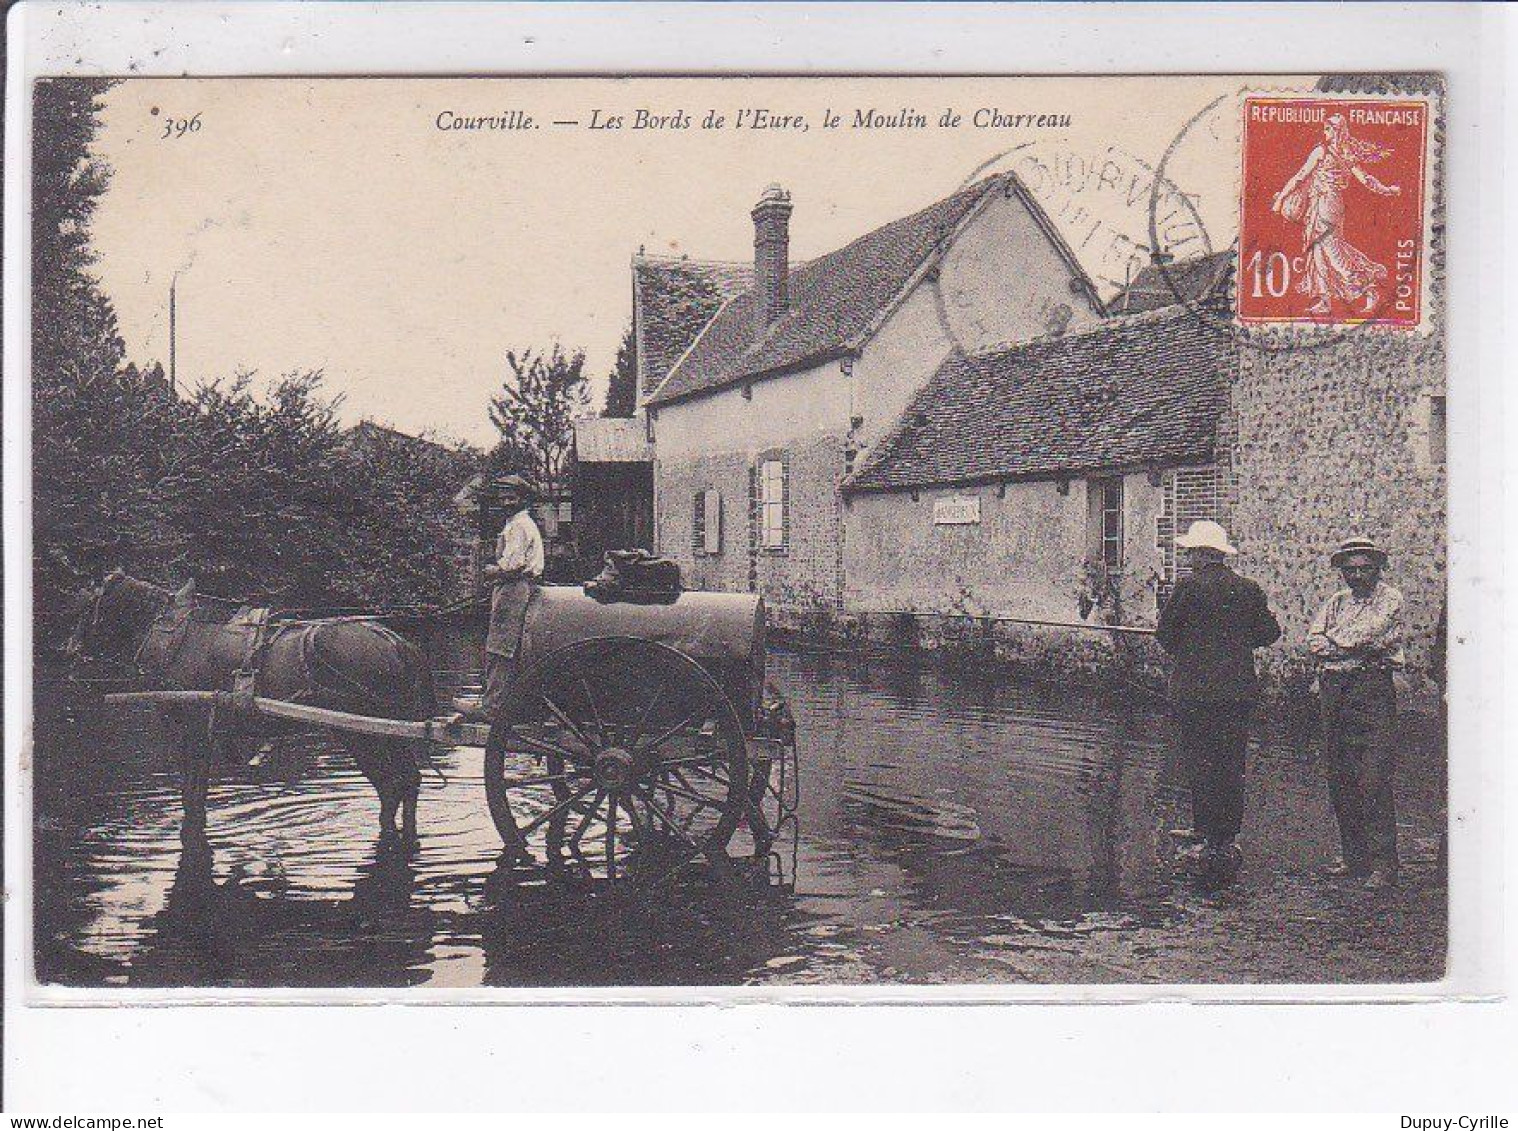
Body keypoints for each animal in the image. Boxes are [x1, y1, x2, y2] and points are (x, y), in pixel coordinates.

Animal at [69, 573, 443, 850]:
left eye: (87, 606)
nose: (69, 648)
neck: (176, 641)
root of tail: (397, 643)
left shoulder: (192, 729)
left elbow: (192, 795)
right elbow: (195, 794)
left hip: (361, 732)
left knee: (393, 784)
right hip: (382, 732)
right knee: (405, 782)